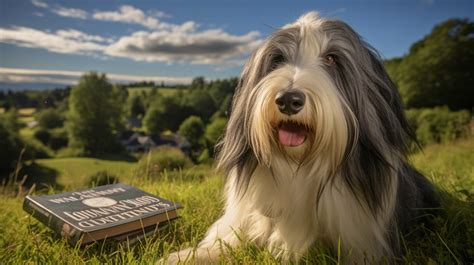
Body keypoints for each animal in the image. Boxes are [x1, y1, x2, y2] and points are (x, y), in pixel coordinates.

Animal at [165, 11, 438, 262]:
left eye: (332, 58)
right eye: (278, 60)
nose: (288, 100)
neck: (300, 164)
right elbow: (226, 239)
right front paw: (187, 256)